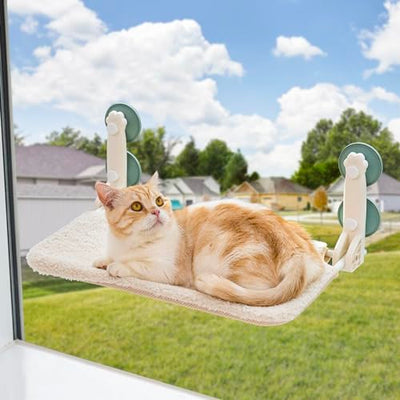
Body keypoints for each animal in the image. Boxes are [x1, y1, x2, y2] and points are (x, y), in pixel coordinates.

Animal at [94, 173, 324, 306]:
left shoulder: (169, 271)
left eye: (159, 201)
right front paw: (102, 261)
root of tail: (298, 253)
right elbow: (110, 256)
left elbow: (136, 265)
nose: (157, 211)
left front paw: (117, 266)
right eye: (136, 206)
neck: (129, 243)